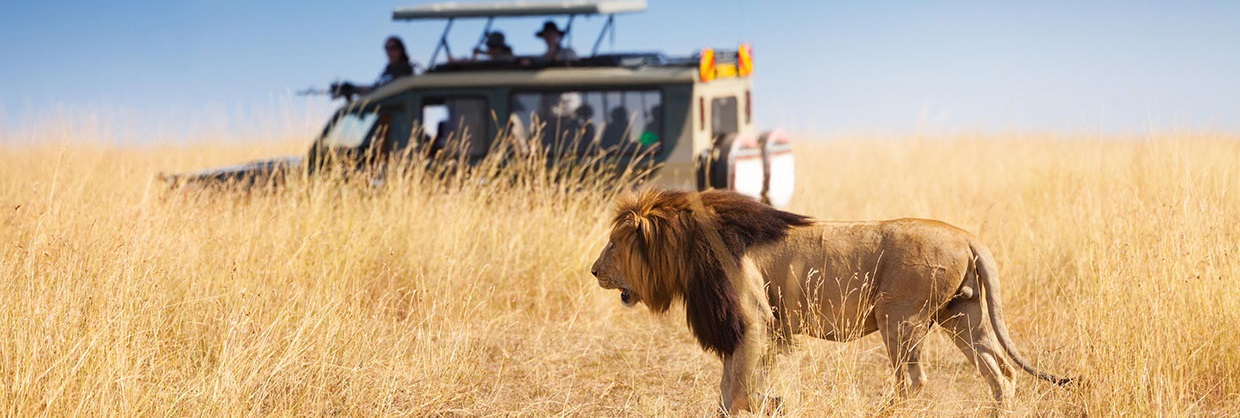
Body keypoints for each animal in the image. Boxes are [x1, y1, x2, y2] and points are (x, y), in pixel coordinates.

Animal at [587, 188, 1066, 414]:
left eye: (612, 243)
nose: (593, 270)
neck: (688, 247)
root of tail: (967, 236)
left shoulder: (754, 320)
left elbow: (738, 389)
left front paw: (770, 405)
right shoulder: (748, 329)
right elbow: (729, 387)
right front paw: (768, 403)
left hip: (899, 317)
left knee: (913, 380)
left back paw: (880, 413)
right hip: (961, 316)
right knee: (1000, 372)